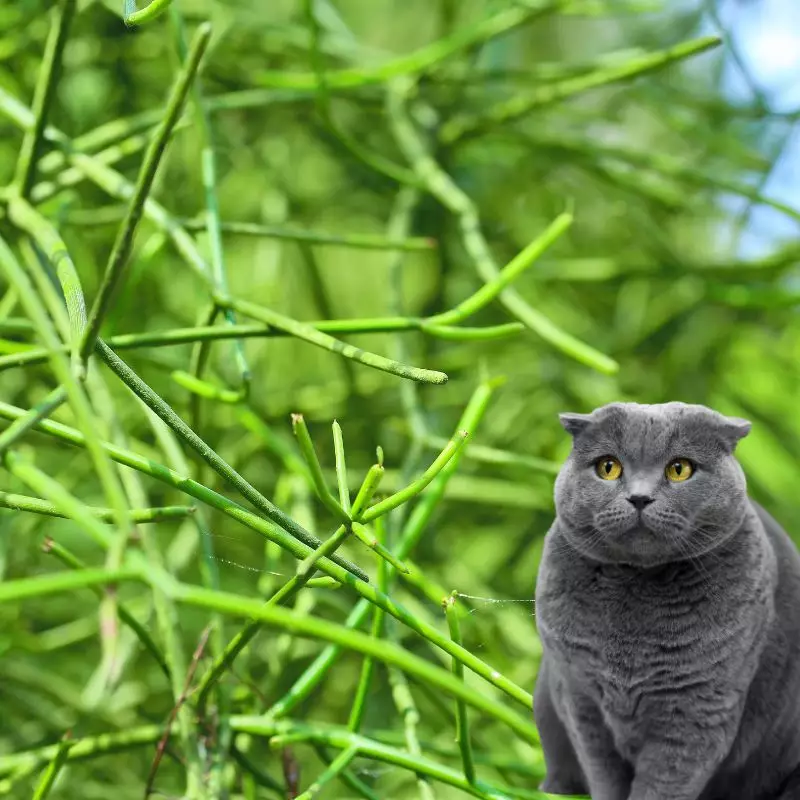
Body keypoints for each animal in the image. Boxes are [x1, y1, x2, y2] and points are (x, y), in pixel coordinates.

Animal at [536, 404, 800, 800]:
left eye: (680, 469)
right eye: (608, 467)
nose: (640, 497)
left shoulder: (698, 710)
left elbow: (663, 784)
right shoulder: (580, 699)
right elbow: (603, 775)